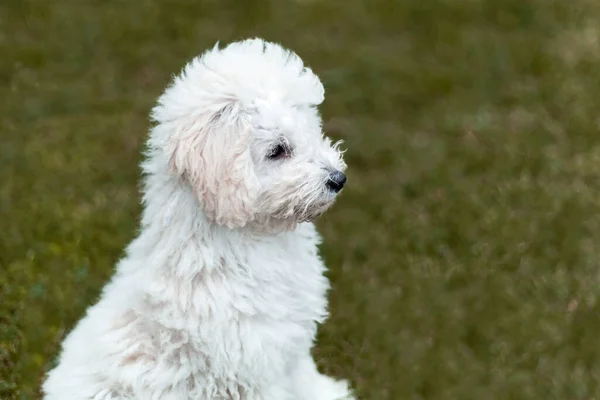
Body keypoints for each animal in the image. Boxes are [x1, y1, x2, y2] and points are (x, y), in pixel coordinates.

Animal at [44, 38, 354, 400]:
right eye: (278, 150)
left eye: (310, 132)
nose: (338, 178)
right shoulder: (253, 367)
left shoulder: (291, 351)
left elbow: (305, 379)